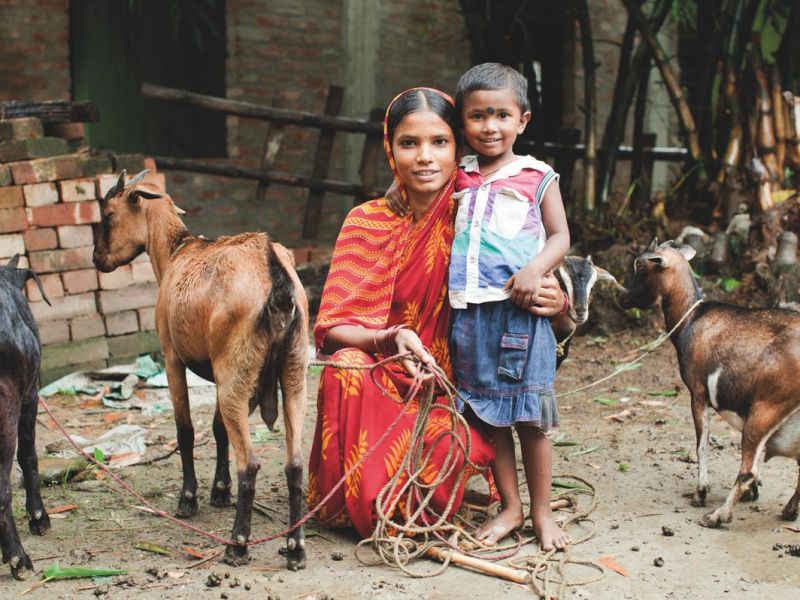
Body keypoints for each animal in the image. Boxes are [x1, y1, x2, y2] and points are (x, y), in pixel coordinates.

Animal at [92, 171, 308, 568]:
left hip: (236, 370)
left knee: (250, 463)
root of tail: (275, 277)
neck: (177, 252)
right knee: (295, 462)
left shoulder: (172, 358)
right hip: (291, 371)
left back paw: (237, 544)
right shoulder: (221, 374)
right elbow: (219, 429)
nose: (97, 258)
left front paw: (189, 498)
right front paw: (219, 491)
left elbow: (187, 430)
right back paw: (296, 548)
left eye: (108, 214)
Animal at [620, 241, 800, 528]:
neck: (691, 319)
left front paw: (700, 493)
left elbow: (702, 444)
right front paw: (752, 494)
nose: (622, 296)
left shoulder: (698, 392)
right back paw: (789, 511)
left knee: (747, 469)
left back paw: (717, 516)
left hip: (766, 408)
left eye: (640, 265)